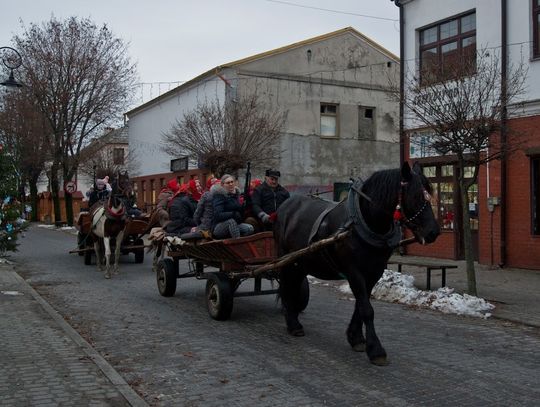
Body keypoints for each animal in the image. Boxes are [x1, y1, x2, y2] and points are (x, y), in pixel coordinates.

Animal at [274, 163, 438, 366]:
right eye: (415, 196)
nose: (433, 232)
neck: (364, 222)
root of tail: (285, 206)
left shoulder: (374, 271)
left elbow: (361, 304)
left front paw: (356, 338)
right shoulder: (353, 271)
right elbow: (366, 309)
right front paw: (375, 349)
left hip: (300, 262)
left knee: (293, 285)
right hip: (286, 258)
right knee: (287, 286)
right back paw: (293, 323)